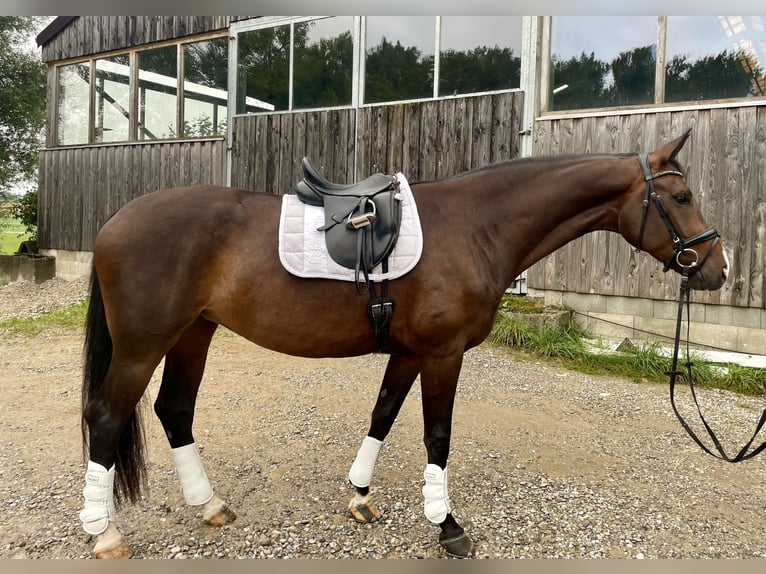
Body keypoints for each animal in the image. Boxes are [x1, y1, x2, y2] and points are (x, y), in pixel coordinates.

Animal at [79, 129, 732, 560]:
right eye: (680, 198)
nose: (717, 270)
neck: (477, 225)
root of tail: (112, 223)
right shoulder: (444, 353)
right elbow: (437, 434)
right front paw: (447, 526)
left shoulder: (410, 352)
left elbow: (384, 414)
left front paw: (360, 496)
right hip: (143, 345)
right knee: (108, 417)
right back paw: (104, 531)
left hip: (195, 332)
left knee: (174, 410)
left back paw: (209, 505)